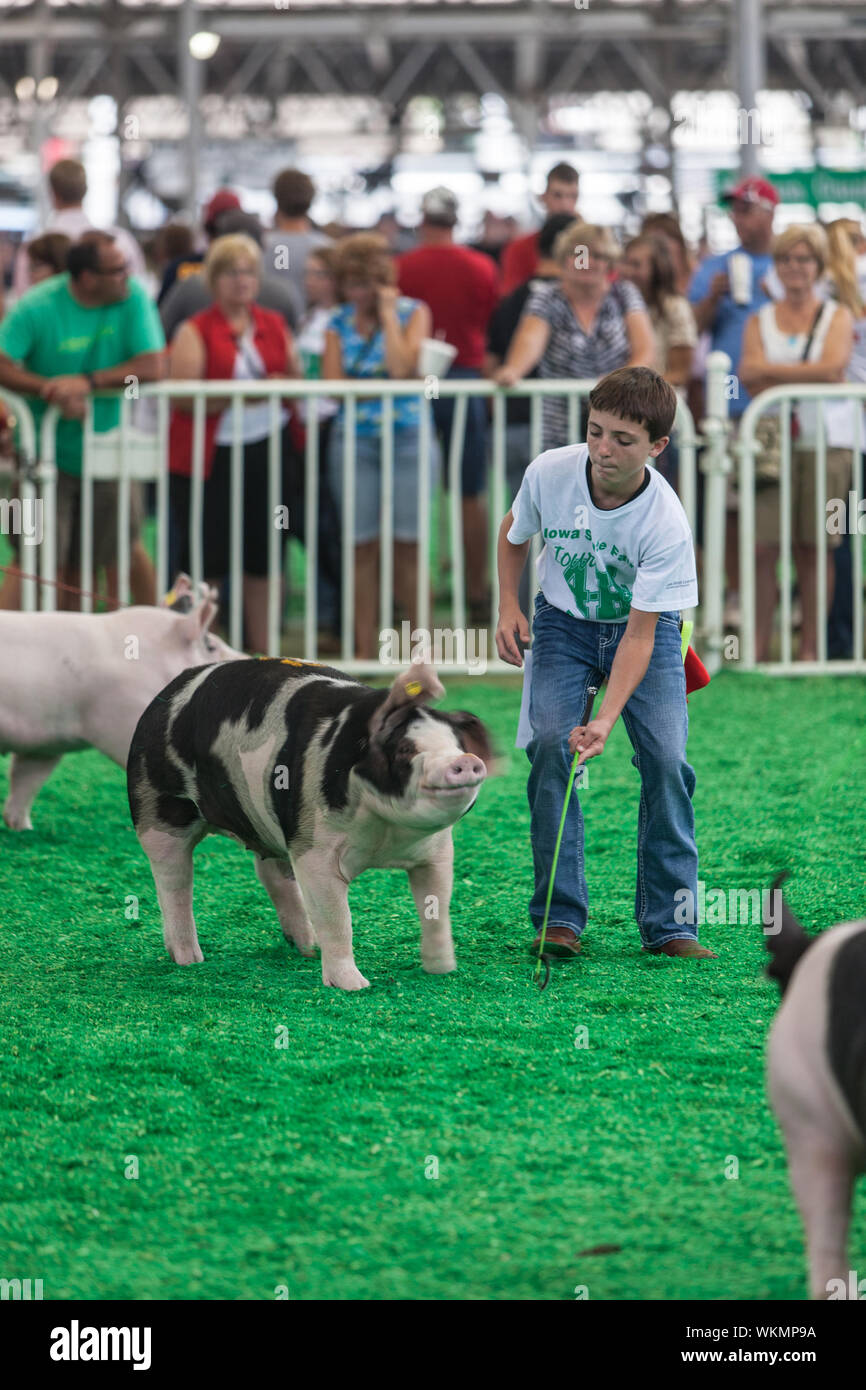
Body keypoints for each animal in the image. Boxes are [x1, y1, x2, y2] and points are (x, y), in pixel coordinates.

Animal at [127, 658, 494, 989]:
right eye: (405, 749)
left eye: (457, 744)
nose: (465, 760)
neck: (385, 836)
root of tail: (169, 691)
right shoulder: (314, 850)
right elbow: (337, 917)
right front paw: (354, 986)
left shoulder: (436, 853)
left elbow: (437, 908)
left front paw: (443, 970)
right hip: (157, 810)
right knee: (174, 883)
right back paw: (189, 959)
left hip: (271, 827)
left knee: (274, 876)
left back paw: (307, 948)